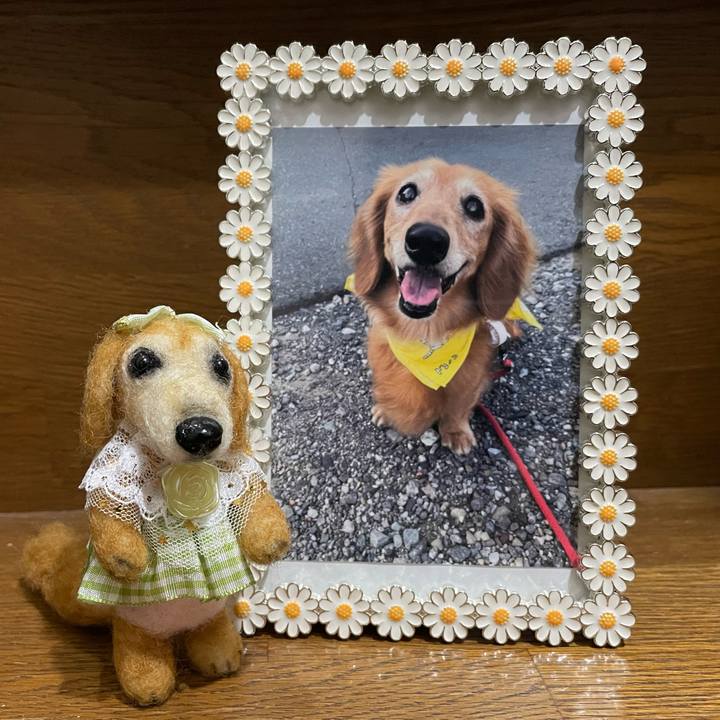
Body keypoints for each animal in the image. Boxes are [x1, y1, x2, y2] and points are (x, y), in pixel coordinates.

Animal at [349, 158, 535, 455]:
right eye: (406, 193)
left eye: (474, 207)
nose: (426, 240)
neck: (424, 334)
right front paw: (384, 410)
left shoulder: (470, 379)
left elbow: (458, 406)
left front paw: (456, 432)